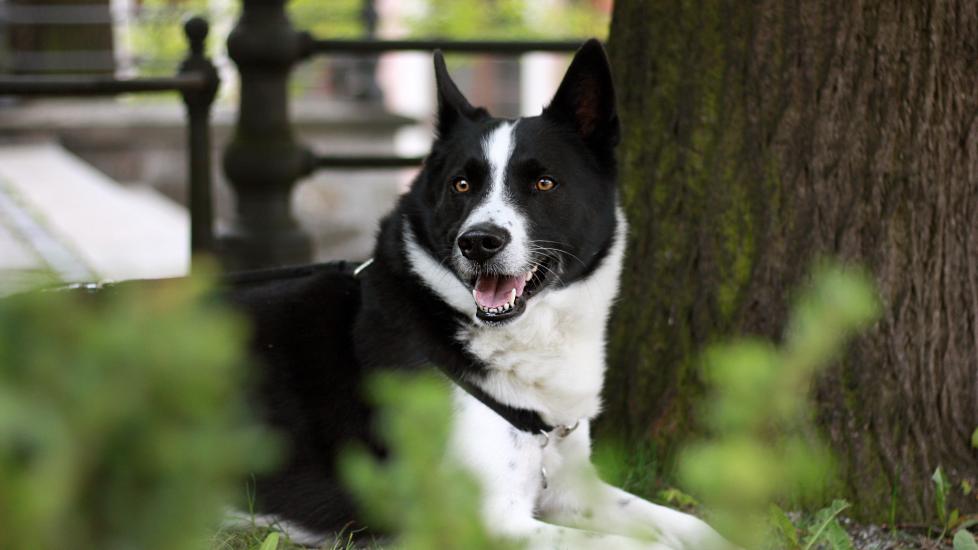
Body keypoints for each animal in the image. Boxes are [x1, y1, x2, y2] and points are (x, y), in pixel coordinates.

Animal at [231, 40, 724, 550]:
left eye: (544, 183)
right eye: (461, 184)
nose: (479, 242)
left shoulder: (571, 488)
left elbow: (696, 527)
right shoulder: (481, 521)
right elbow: (634, 545)